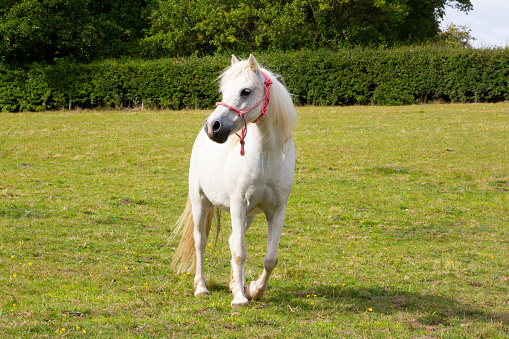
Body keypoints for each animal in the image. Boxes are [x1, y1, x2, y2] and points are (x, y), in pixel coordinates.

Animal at [172, 53, 298, 310]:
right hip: (201, 201)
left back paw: (233, 284)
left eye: (246, 91)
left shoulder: (276, 210)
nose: (213, 127)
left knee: (231, 240)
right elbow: (240, 252)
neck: (266, 155)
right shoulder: (238, 205)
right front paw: (240, 299)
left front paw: (254, 289)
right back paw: (201, 287)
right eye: (223, 91)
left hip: (247, 216)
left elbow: (270, 258)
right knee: (200, 241)